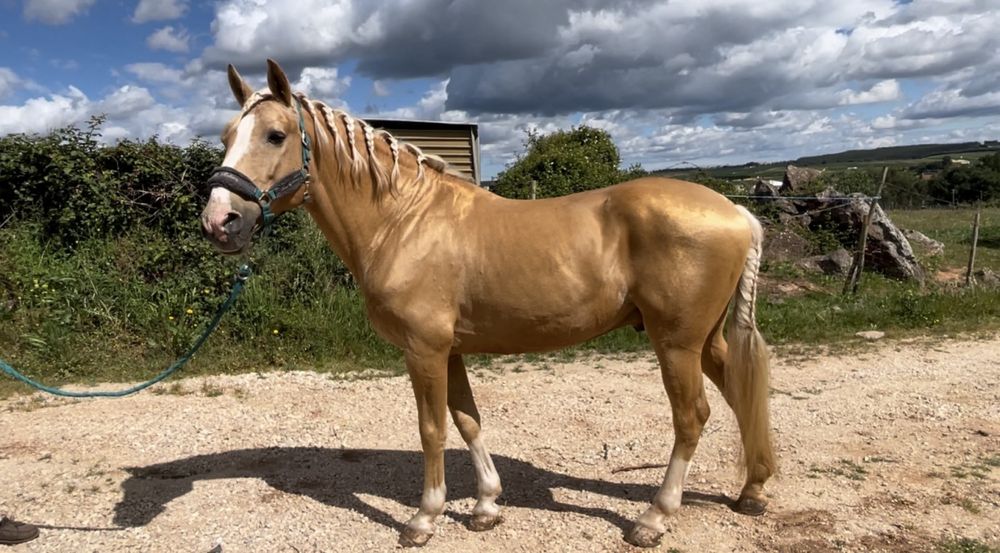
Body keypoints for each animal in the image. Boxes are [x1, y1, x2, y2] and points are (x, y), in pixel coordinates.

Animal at [200, 59, 776, 548]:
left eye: (275, 135)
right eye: (226, 137)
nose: (219, 222)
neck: (402, 220)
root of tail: (738, 213)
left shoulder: (423, 350)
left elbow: (432, 429)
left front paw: (424, 518)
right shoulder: (449, 350)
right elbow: (467, 420)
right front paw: (485, 507)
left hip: (676, 343)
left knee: (692, 416)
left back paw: (654, 518)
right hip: (705, 340)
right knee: (741, 393)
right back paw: (752, 491)